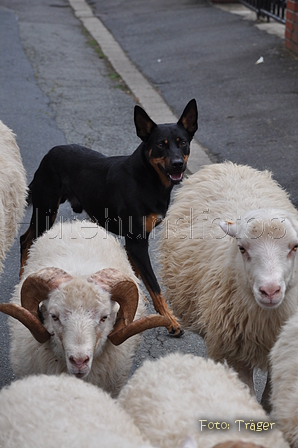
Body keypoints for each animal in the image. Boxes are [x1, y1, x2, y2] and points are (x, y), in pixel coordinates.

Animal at [20, 99, 198, 336]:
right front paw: (170, 321)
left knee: (25, 238)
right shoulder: (137, 243)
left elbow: (135, 276)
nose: (178, 163)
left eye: (183, 142)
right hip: (46, 210)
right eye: (161, 144)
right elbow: (155, 286)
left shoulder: (134, 242)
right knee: (28, 240)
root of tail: (48, 155)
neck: (147, 178)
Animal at [161, 162, 298, 410]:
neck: (264, 320)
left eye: (295, 247)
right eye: (242, 248)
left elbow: (269, 398)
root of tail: (225, 165)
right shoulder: (234, 352)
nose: (270, 291)